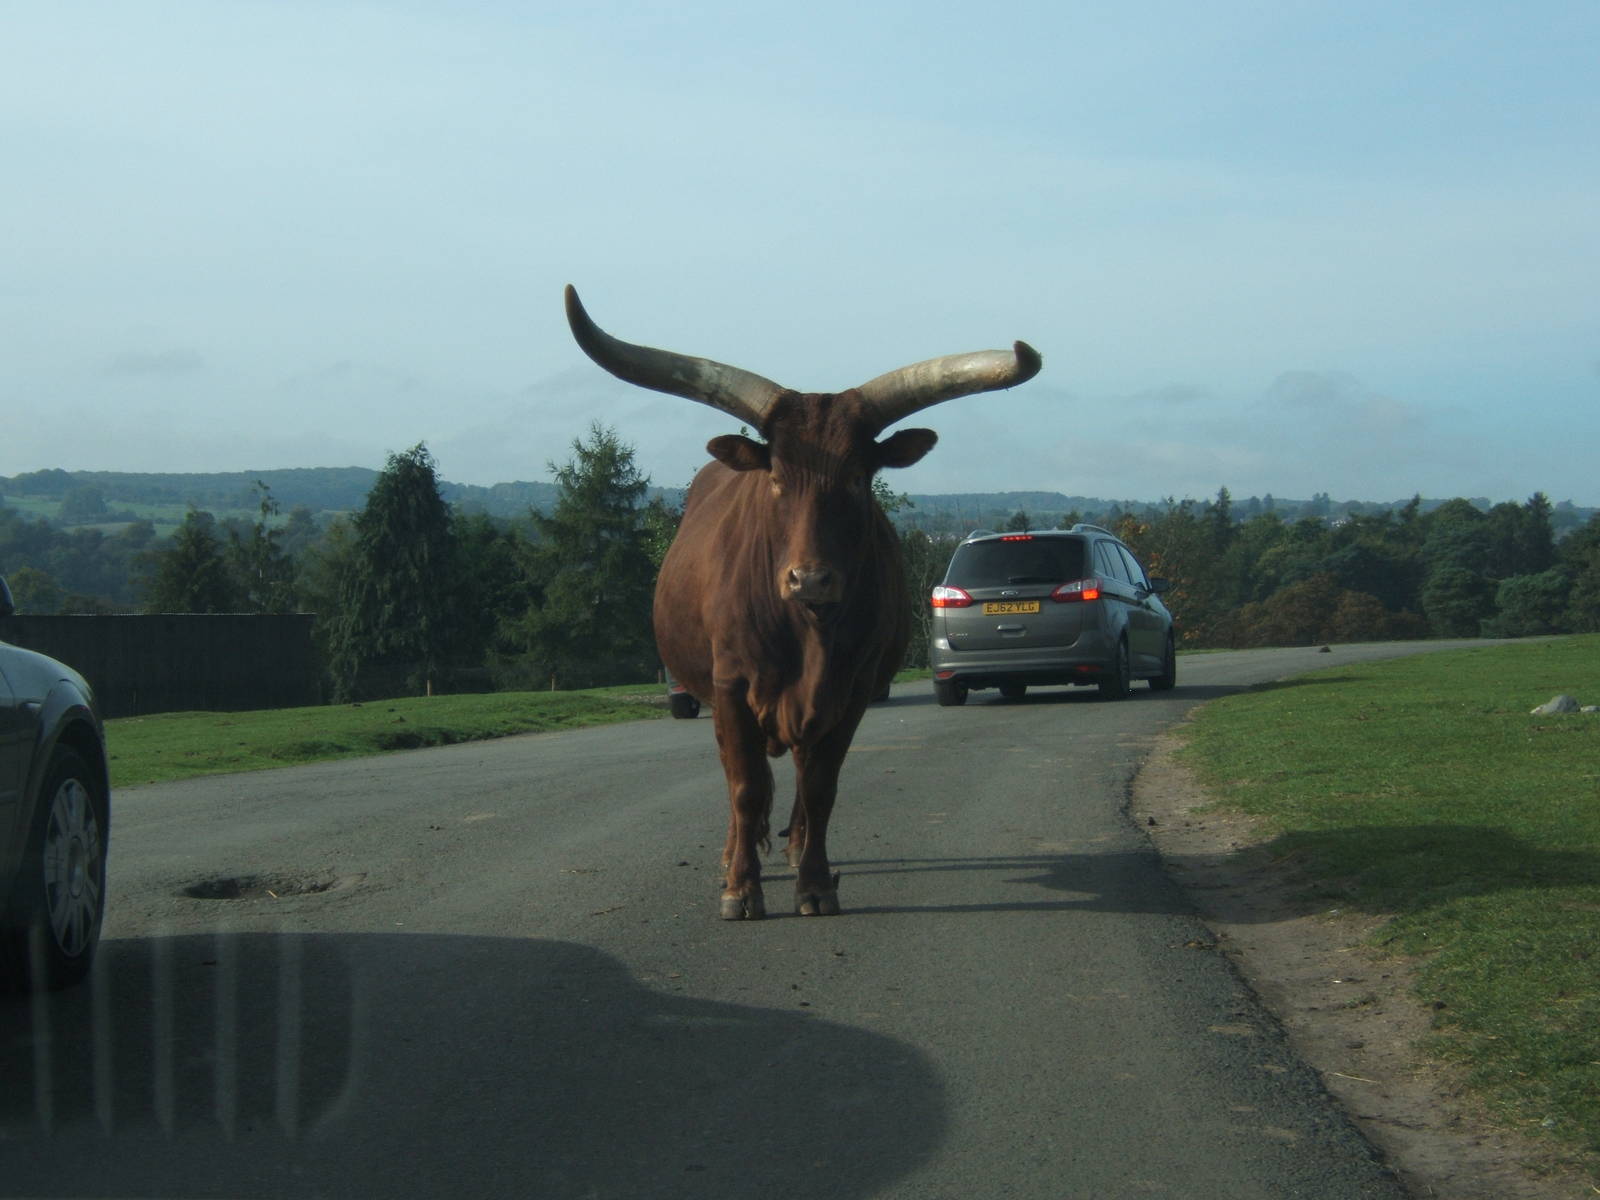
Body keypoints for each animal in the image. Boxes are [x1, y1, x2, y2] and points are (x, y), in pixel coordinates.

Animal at [564, 285, 1041, 918]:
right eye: (777, 478)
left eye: (860, 477)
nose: (810, 580)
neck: (807, 633)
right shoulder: (731, 685)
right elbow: (744, 787)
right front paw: (741, 888)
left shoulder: (852, 689)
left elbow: (820, 787)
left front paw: (814, 883)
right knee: (737, 777)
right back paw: (732, 857)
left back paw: (793, 851)